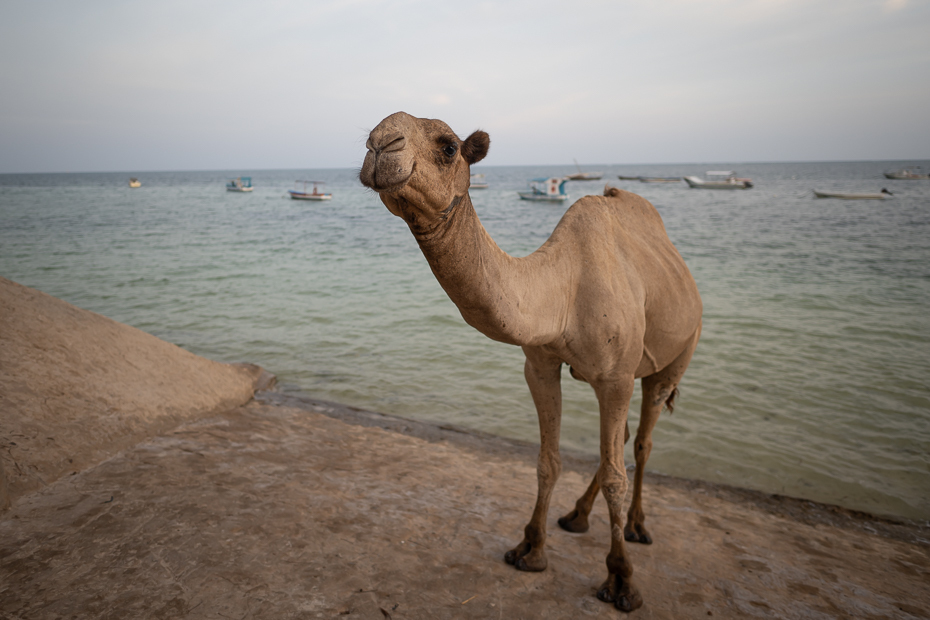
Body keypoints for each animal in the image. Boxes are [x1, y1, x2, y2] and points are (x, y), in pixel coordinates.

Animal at [358, 111, 700, 612]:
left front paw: (621, 580)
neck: (562, 291)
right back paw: (577, 516)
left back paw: (637, 526)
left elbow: (616, 475)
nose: (380, 143)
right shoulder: (540, 365)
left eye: (448, 146)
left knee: (640, 443)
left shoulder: (615, 376)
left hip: (678, 354)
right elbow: (547, 461)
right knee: (617, 445)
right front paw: (531, 548)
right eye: (368, 137)